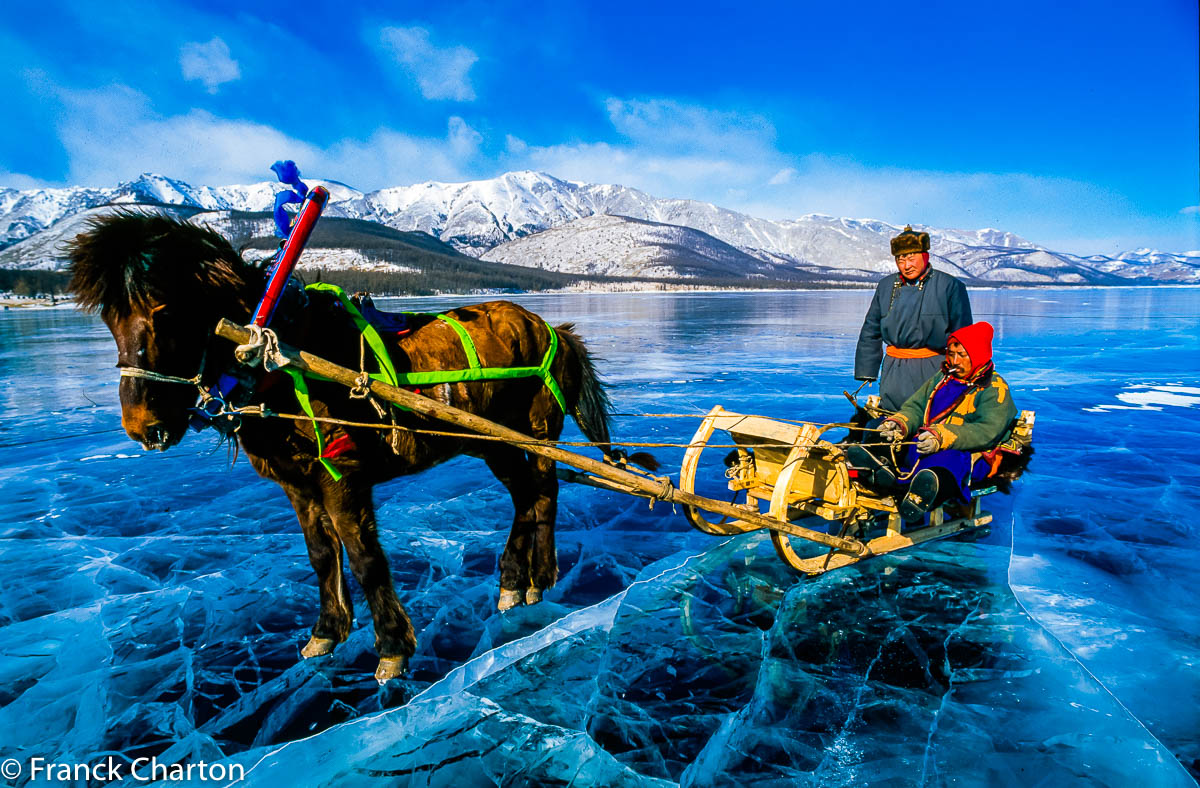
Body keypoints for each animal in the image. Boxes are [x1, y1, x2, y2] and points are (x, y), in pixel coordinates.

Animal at [68, 211, 628, 681]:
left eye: (164, 310)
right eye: (107, 318)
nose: (141, 427)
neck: (282, 363)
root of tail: (551, 327)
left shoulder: (343, 477)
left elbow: (364, 559)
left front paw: (392, 648)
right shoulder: (296, 484)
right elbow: (321, 555)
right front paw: (325, 633)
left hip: (532, 432)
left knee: (542, 494)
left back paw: (534, 577)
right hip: (493, 442)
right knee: (528, 497)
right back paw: (519, 580)